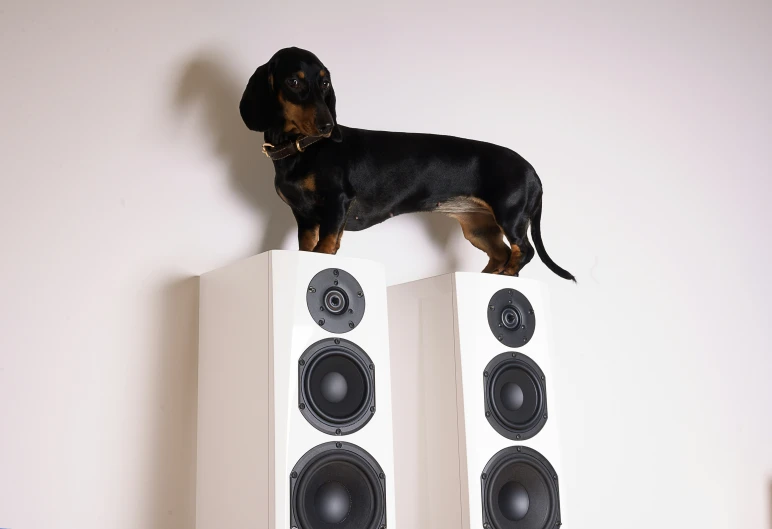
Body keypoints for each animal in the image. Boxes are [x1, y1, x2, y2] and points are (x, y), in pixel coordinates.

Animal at [240, 45, 572, 280]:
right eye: (294, 81)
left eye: (325, 83)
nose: (327, 127)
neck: (303, 149)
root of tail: (533, 172)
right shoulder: (305, 216)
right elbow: (308, 247)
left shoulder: (337, 202)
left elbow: (326, 246)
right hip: (479, 227)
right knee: (501, 253)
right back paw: (490, 275)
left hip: (510, 214)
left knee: (523, 250)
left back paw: (508, 273)